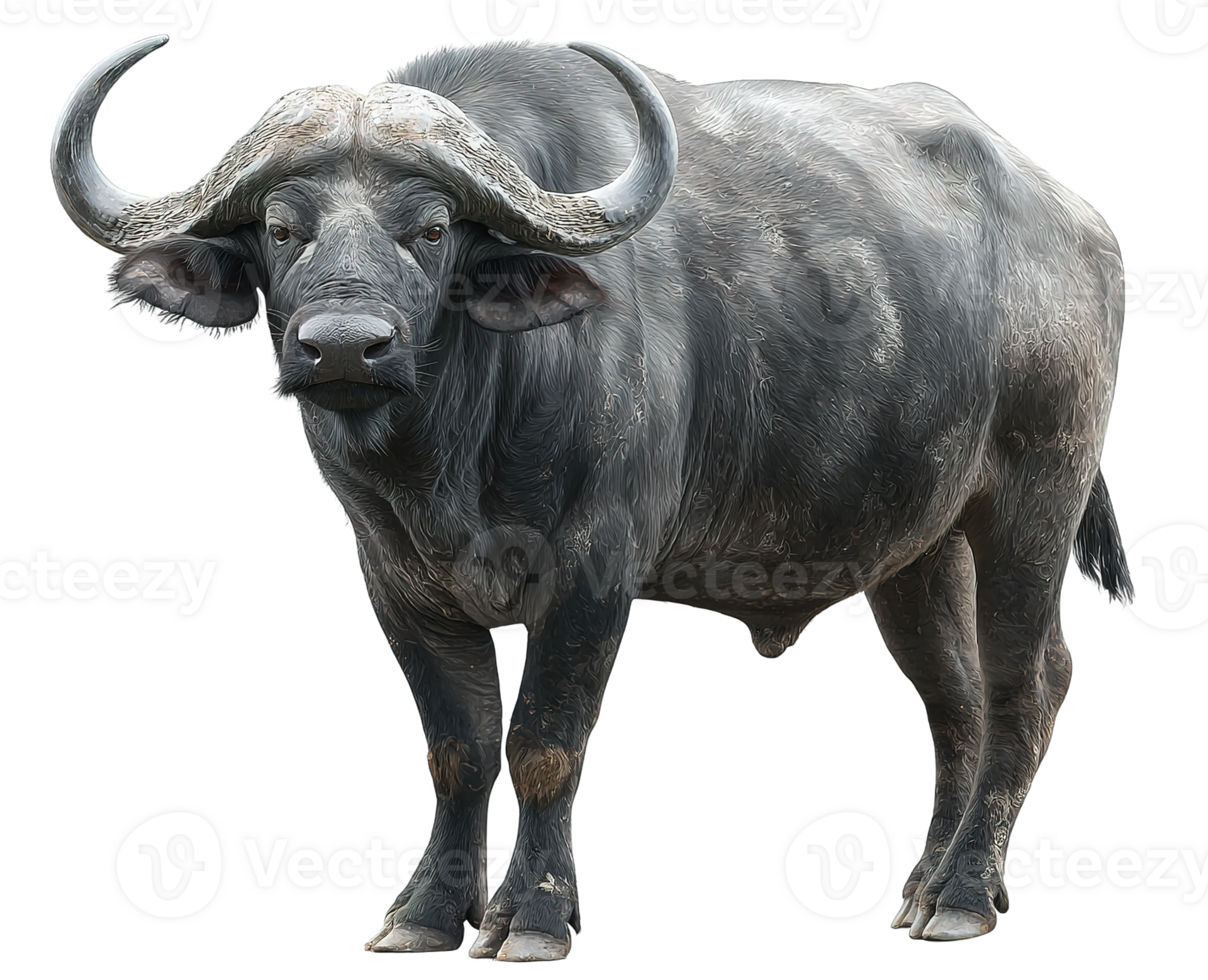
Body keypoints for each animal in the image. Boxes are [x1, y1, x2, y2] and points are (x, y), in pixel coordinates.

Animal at [52, 35, 1134, 956]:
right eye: (282, 226)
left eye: (431, 227)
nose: (344, 347)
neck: (452, 445)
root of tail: (1076, 225)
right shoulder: (398, 575)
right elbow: (458, 746)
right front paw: (429, 914)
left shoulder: (591, 565)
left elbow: (541, 740)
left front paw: (532, 920)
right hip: (918, 544)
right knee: (952, 700)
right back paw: (926, 886)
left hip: (1034, 493)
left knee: (1022, 684)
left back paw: (965, 896)